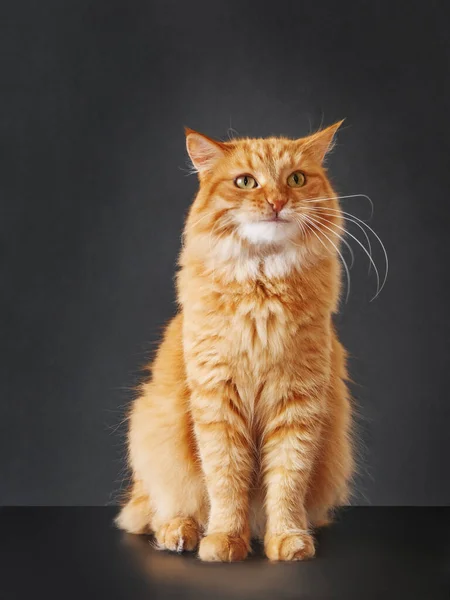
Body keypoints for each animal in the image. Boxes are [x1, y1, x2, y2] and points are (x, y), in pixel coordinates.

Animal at [117, 123, 356, 564]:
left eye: (296, 179)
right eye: (246, 182)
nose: (277, 202)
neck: (262, 287)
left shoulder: (297, 403)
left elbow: (287, 481)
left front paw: (288, 540)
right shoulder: (218, 402)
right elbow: (226, 481)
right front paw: (224, 540)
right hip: (152, 431)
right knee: (157, 509)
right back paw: (181, 533)